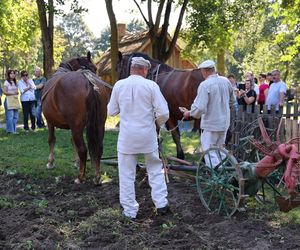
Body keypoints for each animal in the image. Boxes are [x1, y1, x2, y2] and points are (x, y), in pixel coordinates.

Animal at [42, 51, 112, 184]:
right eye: (94, 68)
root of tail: (88, 81)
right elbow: (72, 141)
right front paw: (77, 162)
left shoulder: (50, 121)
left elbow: (51, 139)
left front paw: (50, 162)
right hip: (99, 124)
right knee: (98, 147)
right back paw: (97, 176)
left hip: (76, 125)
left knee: (83, 149)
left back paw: (80, 177)